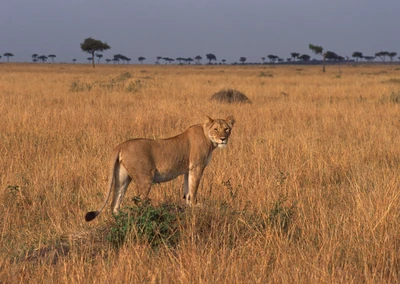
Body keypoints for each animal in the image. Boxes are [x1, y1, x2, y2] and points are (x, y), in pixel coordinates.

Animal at [84, 115, 234, 222]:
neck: (208, 138)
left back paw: (120, 219)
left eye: (227, 129)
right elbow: (194, 189)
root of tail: (120, 145)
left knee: (115, 203)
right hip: (145, 178)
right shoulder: (197, 167)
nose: (223, 139)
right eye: (216, 129)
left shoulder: (188, 170)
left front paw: (188, 206)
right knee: (138, 201)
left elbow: (187, 190)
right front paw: (195, 206)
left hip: (122, 178)